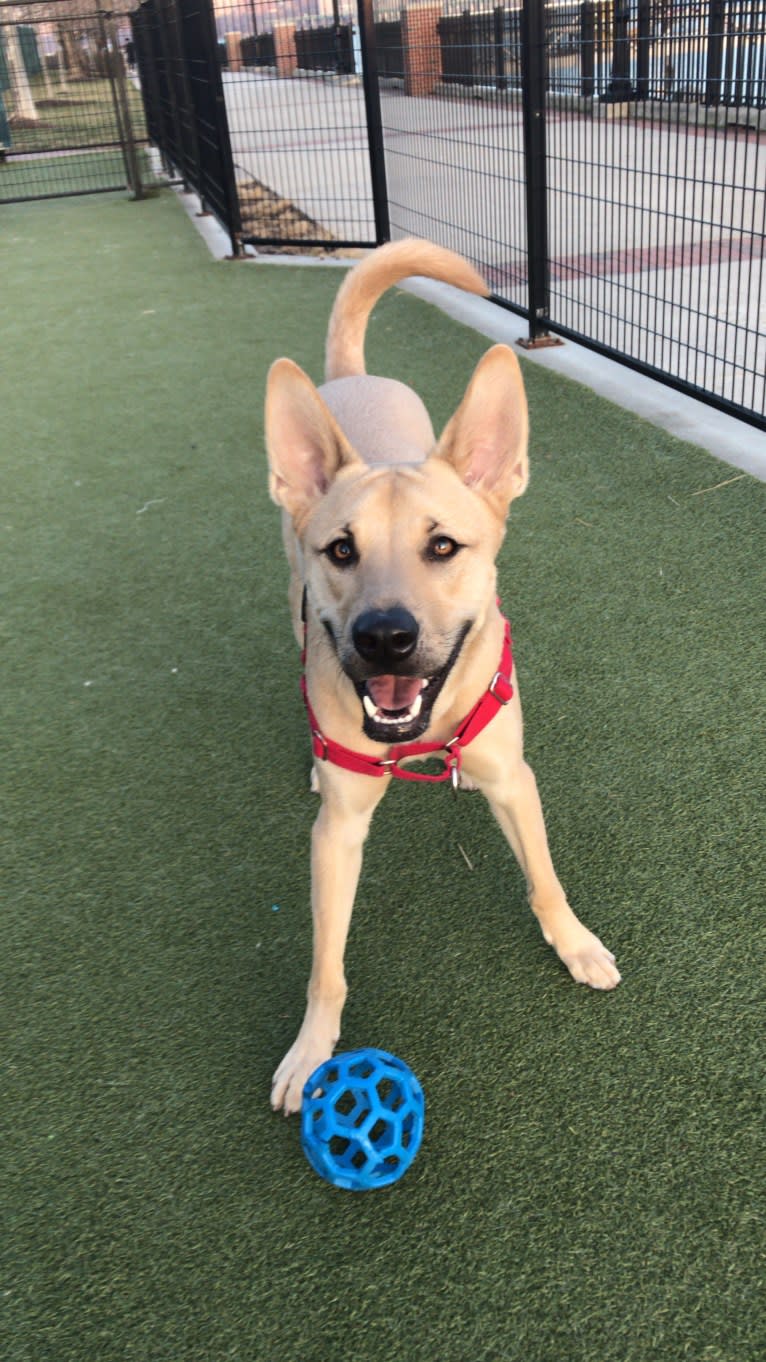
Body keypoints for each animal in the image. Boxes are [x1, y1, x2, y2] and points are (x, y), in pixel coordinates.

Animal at [265, 242, 616, 1116]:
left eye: (444, 547)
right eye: (342, 549)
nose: (385, 637)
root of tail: (351, 376)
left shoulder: (516, 780)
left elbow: (545, 880)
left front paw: (576, 944)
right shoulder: (336, 838)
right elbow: (326, 962)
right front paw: (311, 1049)